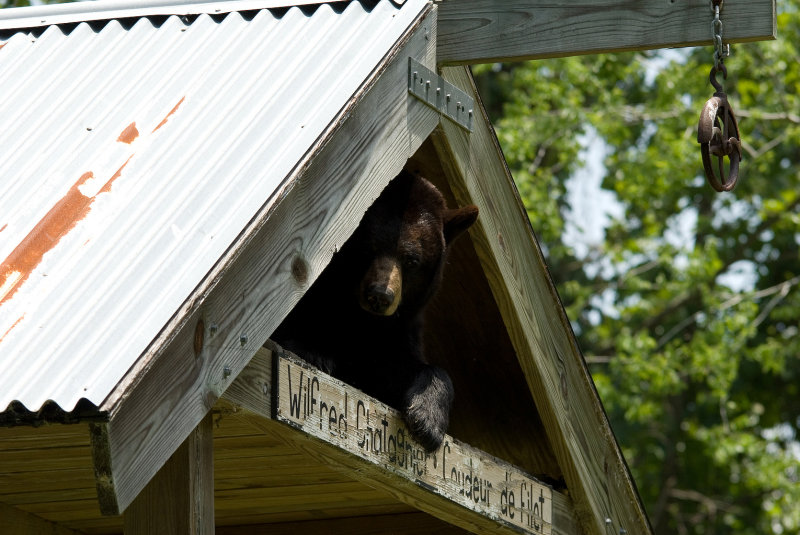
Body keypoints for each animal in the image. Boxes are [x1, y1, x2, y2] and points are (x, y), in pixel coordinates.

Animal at [272, 171, 478, 452]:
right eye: (368, 247)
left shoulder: (397, 332)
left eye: (411, 260)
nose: (380, 296)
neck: (361, 320)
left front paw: (428, 420)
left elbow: (401, 368)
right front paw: (314, 352)